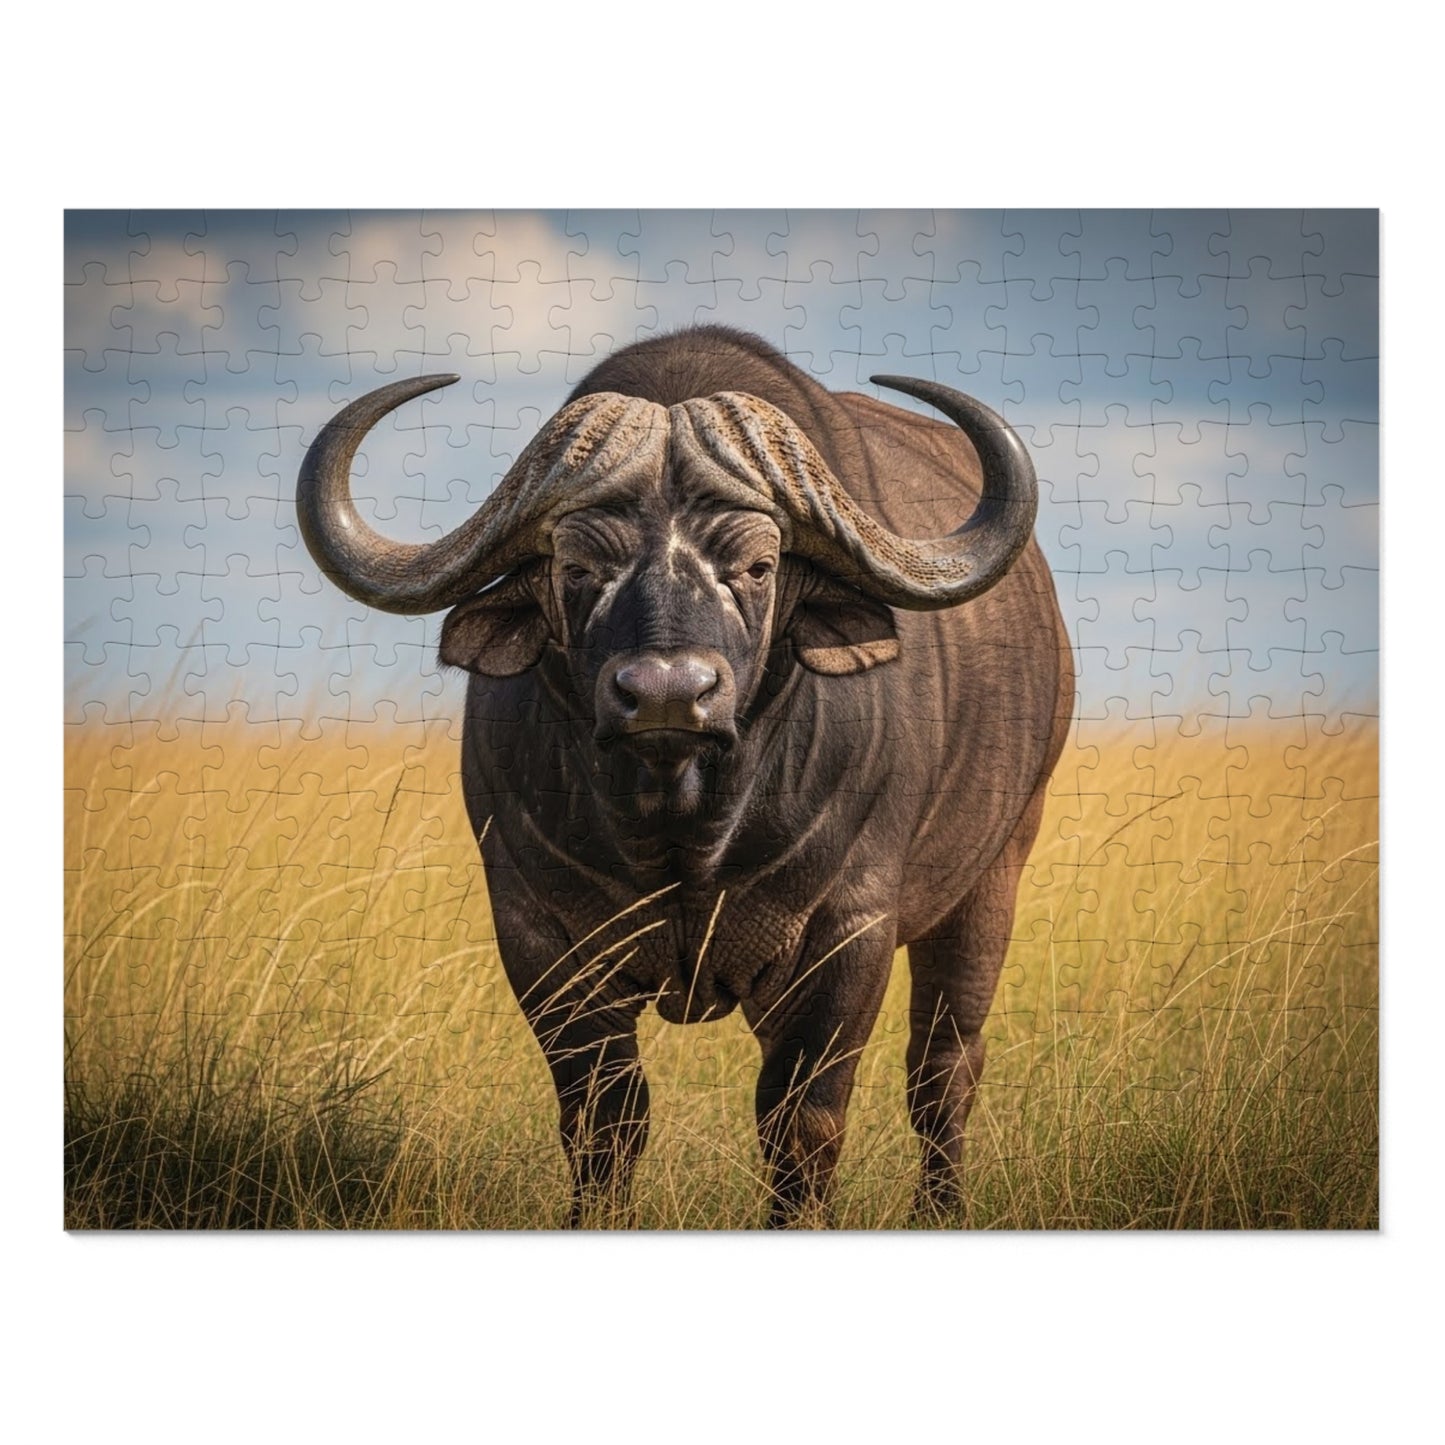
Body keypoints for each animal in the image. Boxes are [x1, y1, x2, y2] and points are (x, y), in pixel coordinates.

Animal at [297, 326, 1073, 1226]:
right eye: (576, 568)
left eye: (758, 566)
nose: (667, 693)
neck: (681, 827)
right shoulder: (536, 933)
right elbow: (603, 1119)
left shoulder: (848, 928)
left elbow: (801, 1120)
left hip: (996, 873)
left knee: (943, 1068)